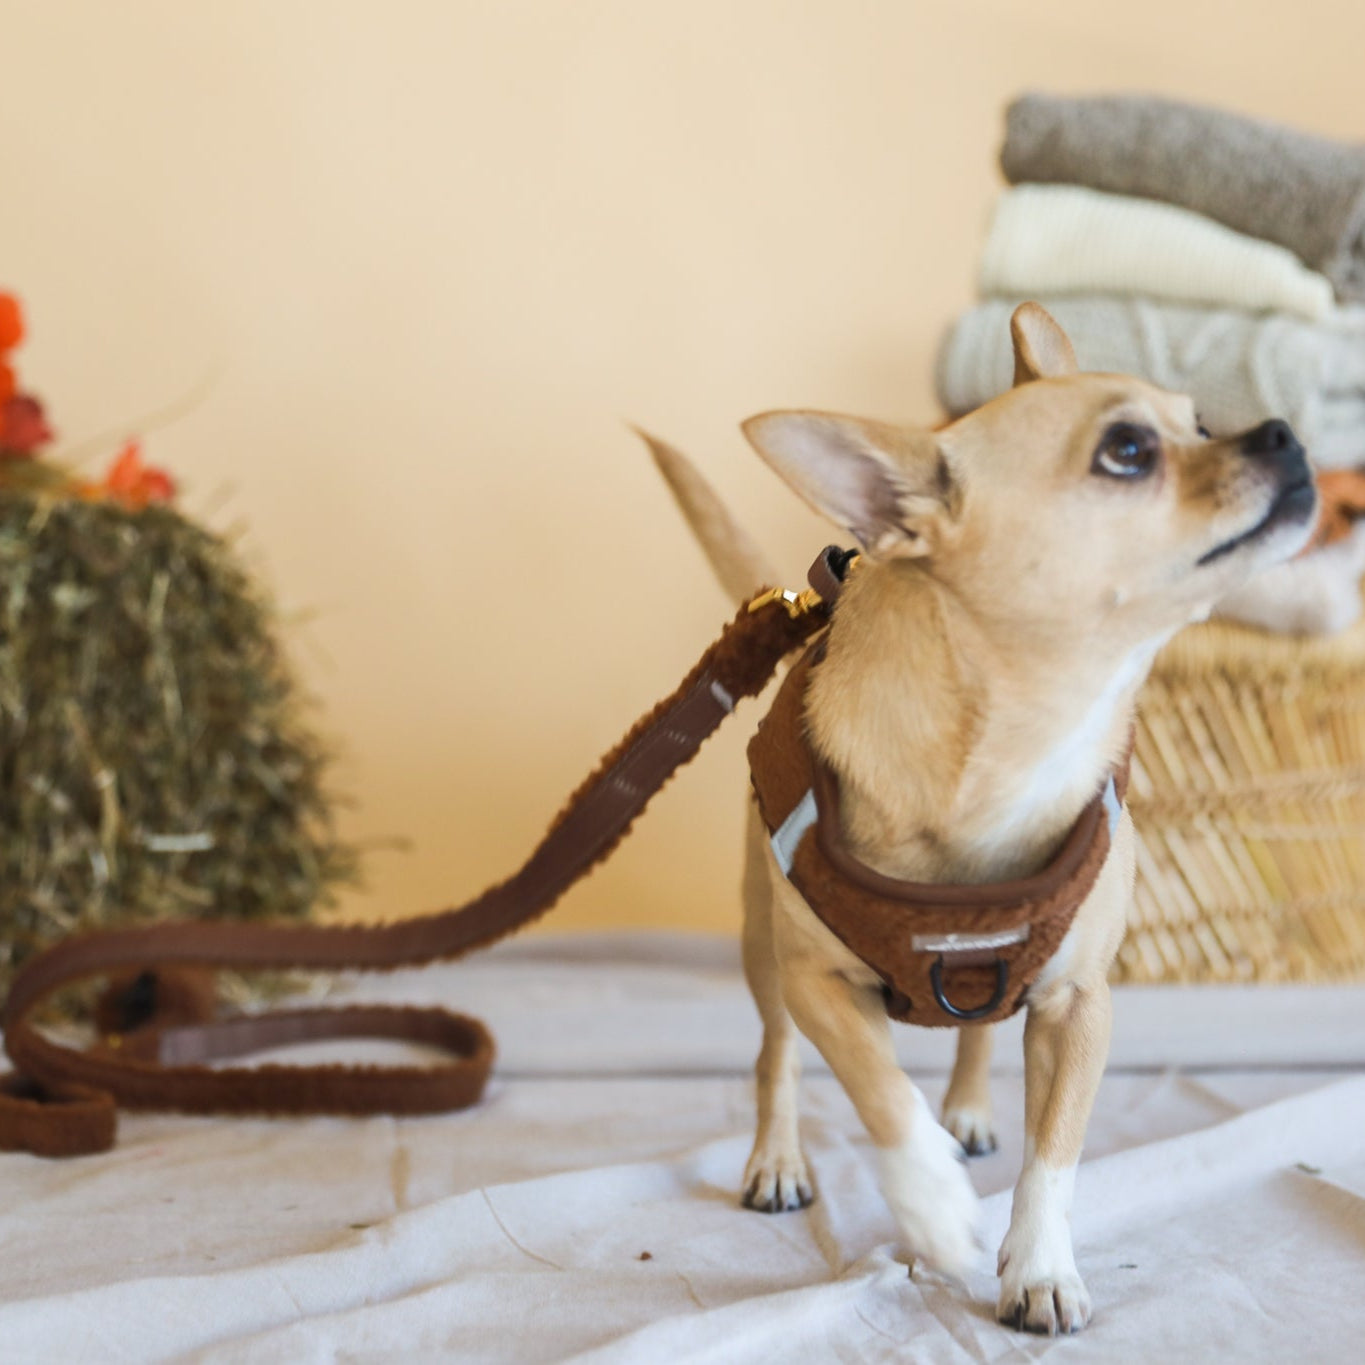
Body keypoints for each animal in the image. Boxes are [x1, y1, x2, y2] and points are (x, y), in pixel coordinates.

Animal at [644, 307, 1315, 1332]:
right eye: (1127, 451)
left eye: (1200, 422)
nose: (1282, 432)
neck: (1020, 744)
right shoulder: (818, 984)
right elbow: (878, 1090)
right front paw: (930, 1205)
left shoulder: (1078, 1006)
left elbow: (1055, 1150)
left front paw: (1039, 1264)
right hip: (764, 949)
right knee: (776, 1057)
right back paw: (779, 1157)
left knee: (979, 1028)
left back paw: (964, 1109)